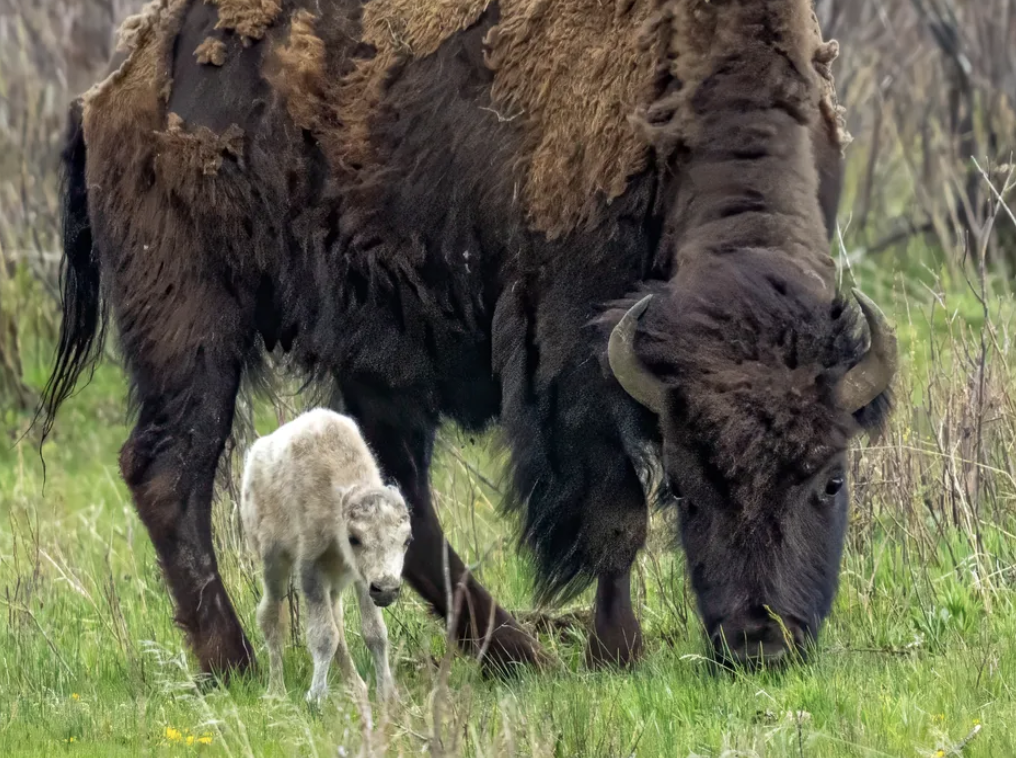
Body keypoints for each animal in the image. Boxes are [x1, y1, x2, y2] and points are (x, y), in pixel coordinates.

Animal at [239, 408, 410, 703]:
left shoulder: (362, 579)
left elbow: (374, 633)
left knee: (337, 623)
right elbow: (323, 636)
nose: (387, 589)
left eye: (407, 541)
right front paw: (315, 698)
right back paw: (276, 691)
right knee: (271, 617)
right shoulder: (311, 571)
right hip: (273, 562)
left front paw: (387, 695)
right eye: (354, 538)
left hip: (335, 584)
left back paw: (356, 687)